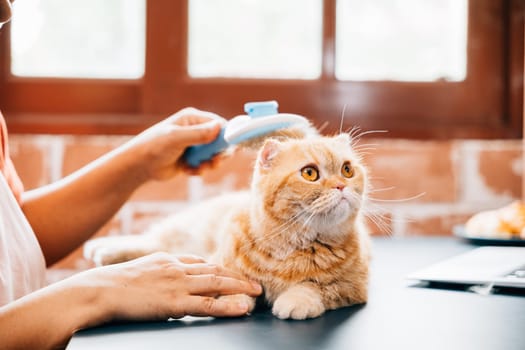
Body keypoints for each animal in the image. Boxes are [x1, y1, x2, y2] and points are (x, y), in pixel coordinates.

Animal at [85, 133, 368, 320]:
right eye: (310, 173)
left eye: (347, 170)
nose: (341, 186)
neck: (291, 245)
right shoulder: (223, 265)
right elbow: (235, 282)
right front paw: (234, 299)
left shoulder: (353, 286)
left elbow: (316, 286)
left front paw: (296, 300)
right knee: (152, 241)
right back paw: (102, 249)